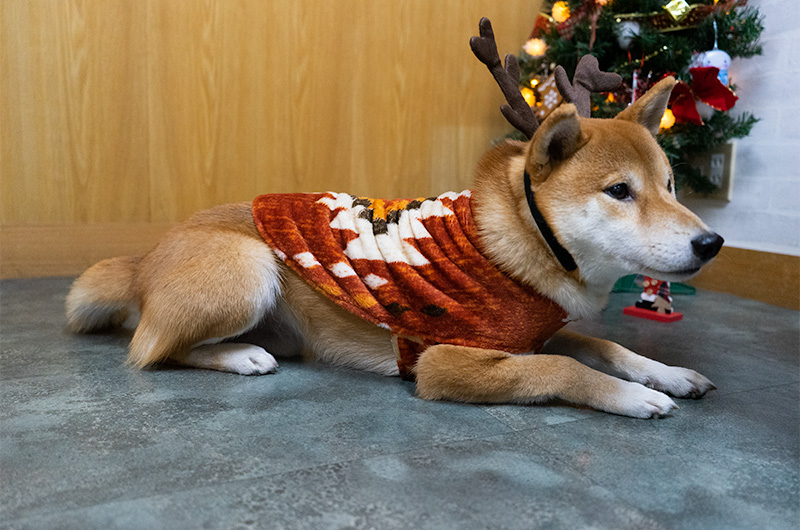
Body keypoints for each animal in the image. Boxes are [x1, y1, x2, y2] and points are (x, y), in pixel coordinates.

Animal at [65, 19, 720, 416]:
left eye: (669, 185)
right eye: (619, 191)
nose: (712, 242)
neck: (529, 242)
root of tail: (145, 257)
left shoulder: (539, 331)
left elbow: (603, 344)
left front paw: (667, 373)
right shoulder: (443, 362)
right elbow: (565, 368)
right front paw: (632, 396)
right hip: (249, 267)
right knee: (153, 350)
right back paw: (241, 356)